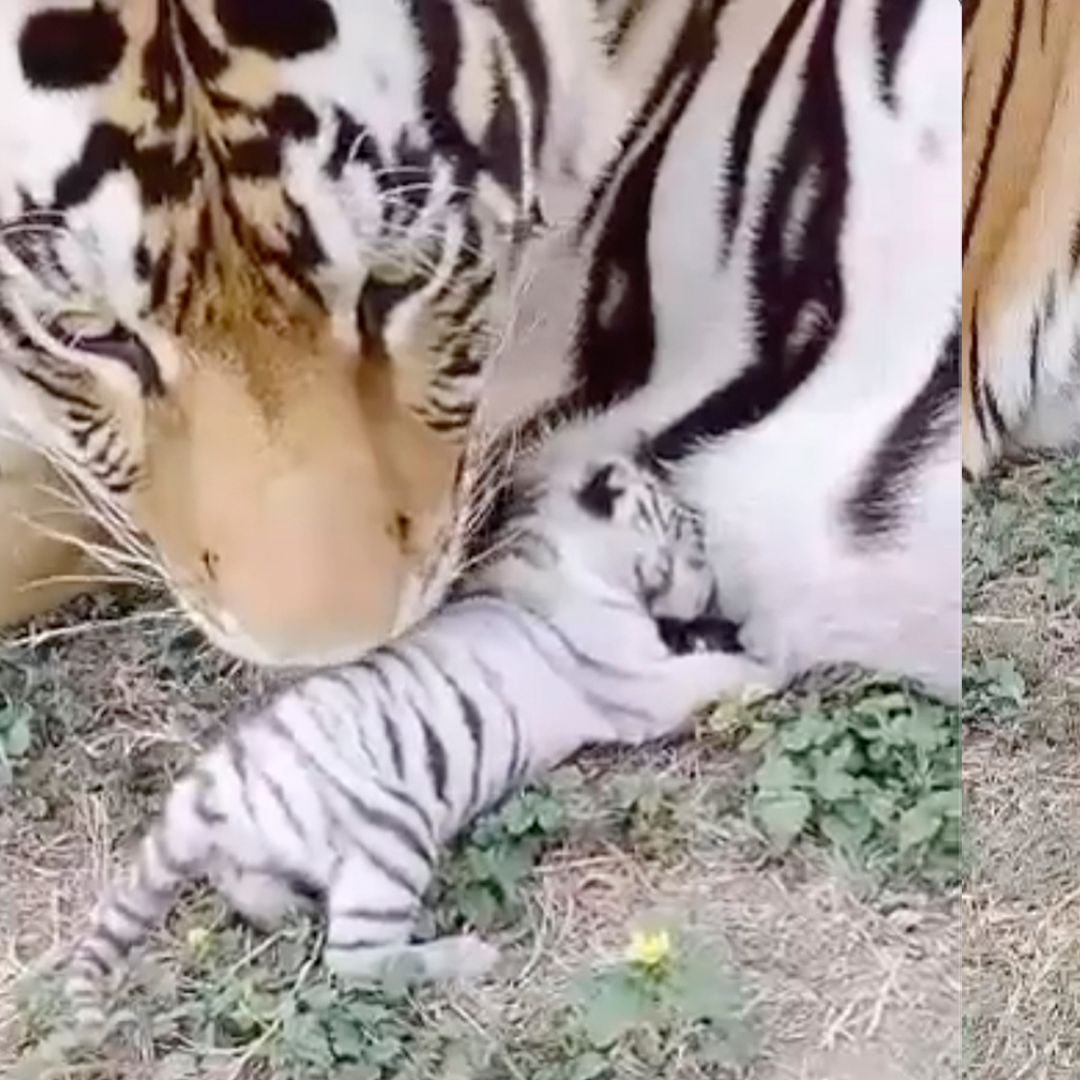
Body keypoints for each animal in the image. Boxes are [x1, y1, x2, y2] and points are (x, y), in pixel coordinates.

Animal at [65, 450, 776, 1027]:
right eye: (689, 535)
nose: (715, 588)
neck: (555, 549)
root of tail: (208, 789)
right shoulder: (635, 683)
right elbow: (712, 672)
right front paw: (766, 660)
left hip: (266, 855)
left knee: (254, 892)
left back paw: (295, 910)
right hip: (391, 837)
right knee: (353, 961)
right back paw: (465, 953)